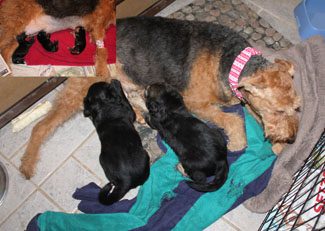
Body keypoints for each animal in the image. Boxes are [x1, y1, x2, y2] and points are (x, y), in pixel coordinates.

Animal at [19, 16, 298, 179]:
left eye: (296, 108)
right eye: (278, 111)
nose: (292, 139)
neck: (231, 63)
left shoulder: (244, 100)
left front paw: (279, 148)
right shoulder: (196, 102)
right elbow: (232, 120)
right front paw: (239, 142)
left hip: (125, 78)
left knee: (131, 95)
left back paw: (141, 114)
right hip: (83, 88)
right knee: (40, 127)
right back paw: (27, 165)